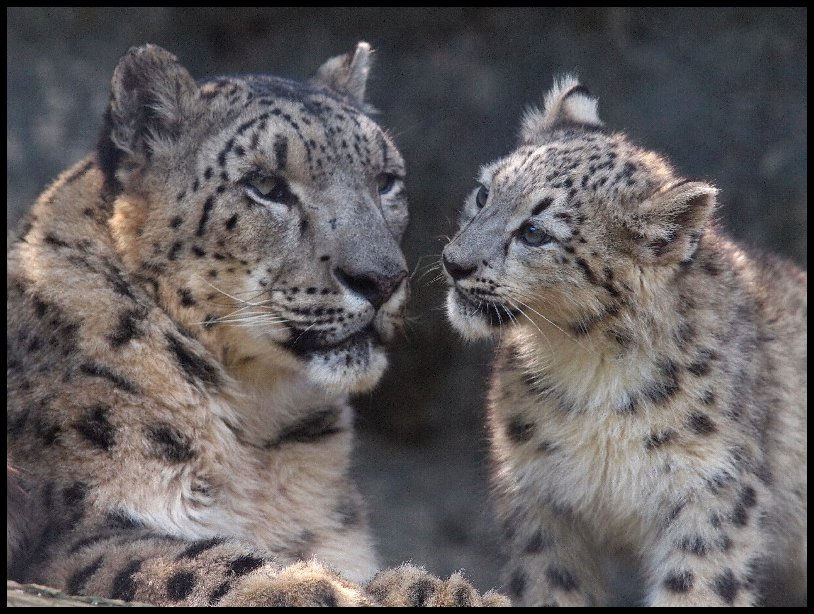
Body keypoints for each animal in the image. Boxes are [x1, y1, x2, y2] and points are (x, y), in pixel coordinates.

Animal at [6, 42, 508, 607]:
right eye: (265, 186)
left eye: (386, 181)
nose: (382, 279)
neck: (260, 431)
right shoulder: (79, 528)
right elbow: (186, 558)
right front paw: (303, 582)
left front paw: (434, 588)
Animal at [441, 76, 806, 606]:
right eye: (483, 193)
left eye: (535, 232)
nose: (454, 262)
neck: (591, 367)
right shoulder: (540, 499)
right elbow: (554, 586)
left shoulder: (713, 492)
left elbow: (696, 587)